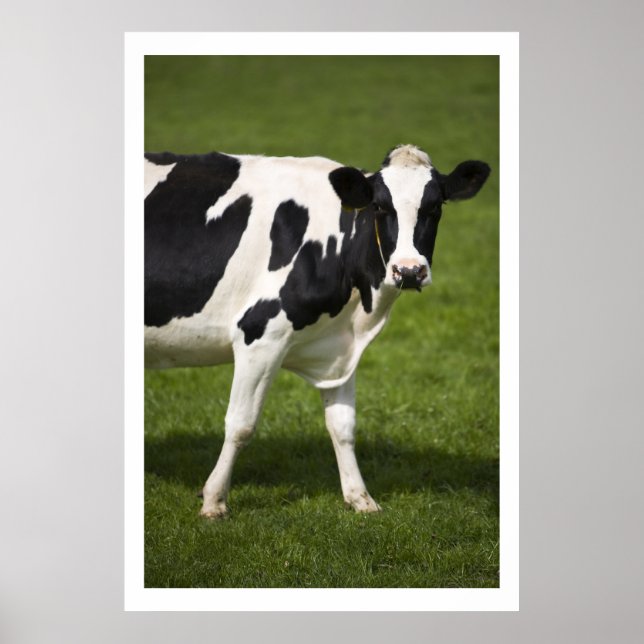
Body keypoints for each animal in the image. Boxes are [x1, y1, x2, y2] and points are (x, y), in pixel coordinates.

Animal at [144, 144, 490, 518]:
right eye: (380, 206)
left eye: (435, 207)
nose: (409, 271)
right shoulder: (259, 335)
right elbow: (241, 424)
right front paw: (214, 501)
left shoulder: (339, 349)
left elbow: (343, 426)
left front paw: (360, 497)